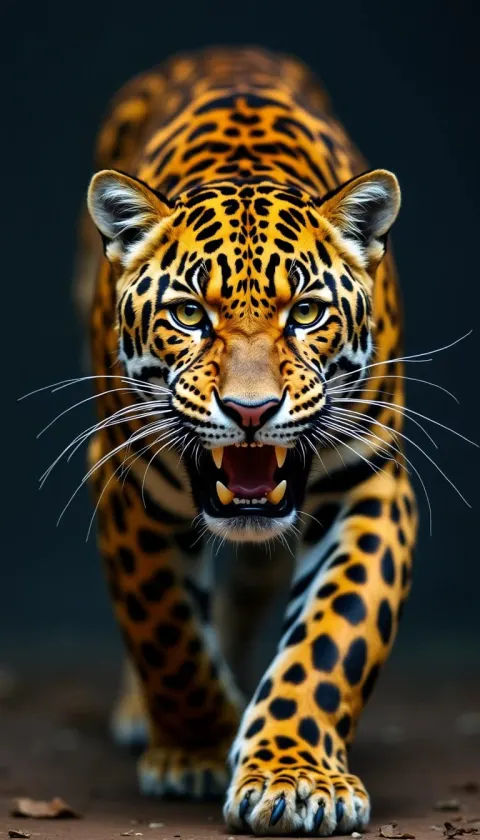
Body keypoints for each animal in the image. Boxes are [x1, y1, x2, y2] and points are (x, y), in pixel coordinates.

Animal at [75, 46, 417, 836]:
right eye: (189, 315)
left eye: (307, 313)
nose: (252, 411)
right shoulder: (128, 480)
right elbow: (165, 630)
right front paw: (197, 746)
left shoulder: (373, 481)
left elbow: (333, 637)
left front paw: (294, 777)